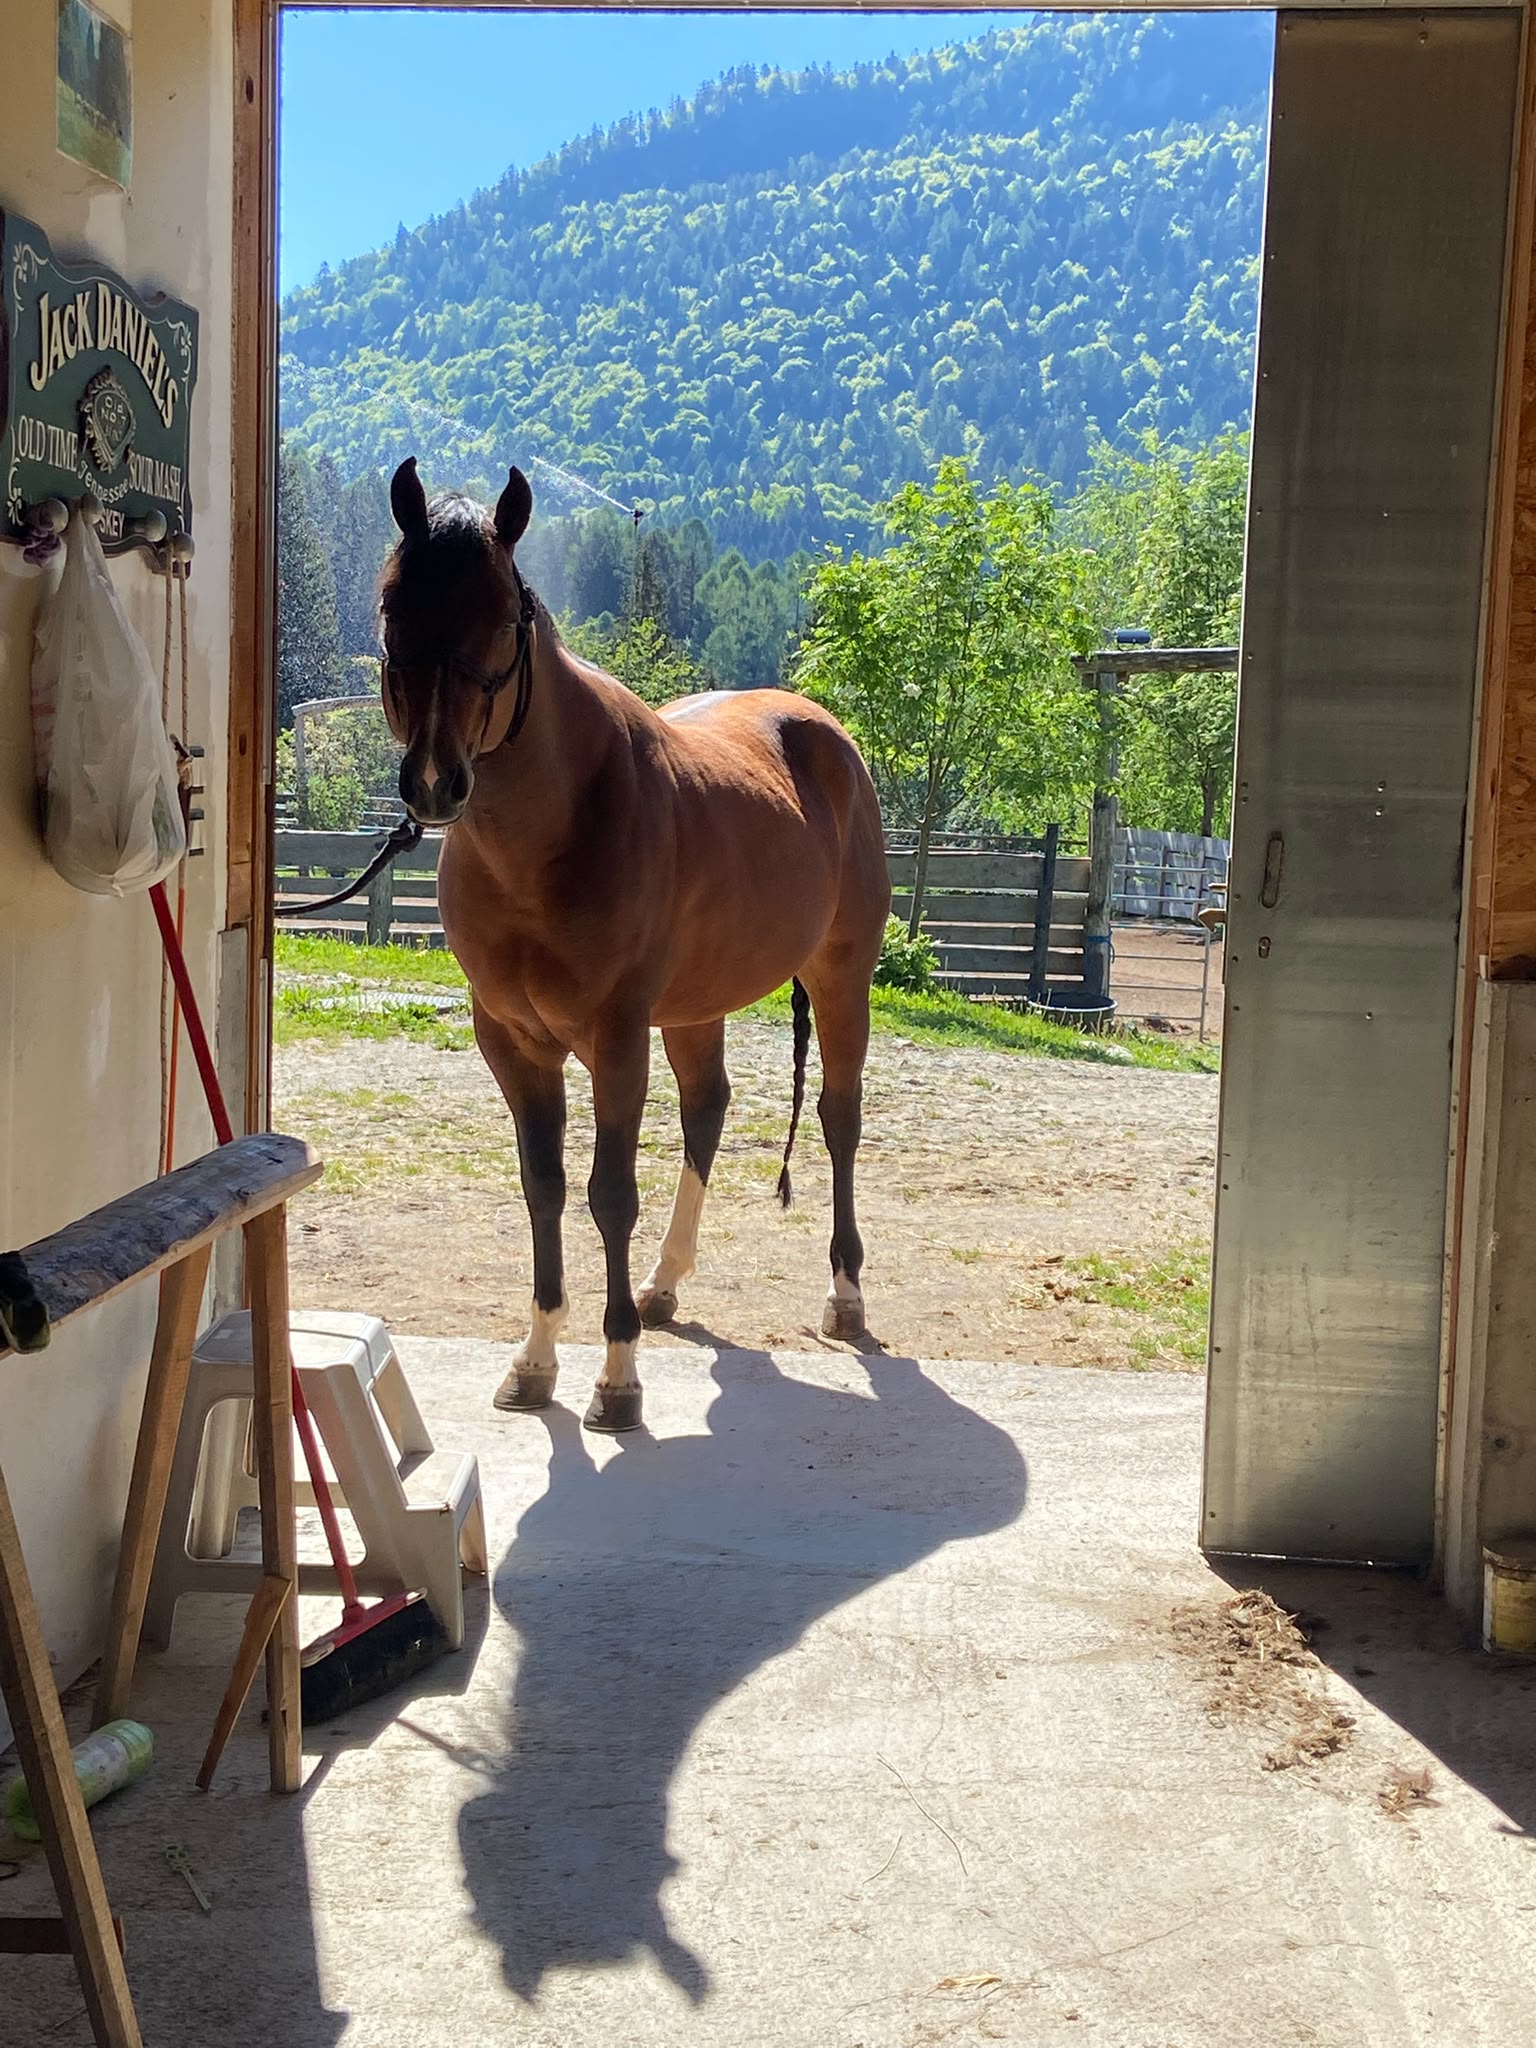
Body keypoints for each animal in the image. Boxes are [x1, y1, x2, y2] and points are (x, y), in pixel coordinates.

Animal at [378, 458, 890, 1432]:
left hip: (842, 978)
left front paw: (616, 1379)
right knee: (708, 1111)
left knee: (839, 1120)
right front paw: (536, 1360)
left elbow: (607, 1193)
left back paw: (845, 1295)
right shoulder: (513, 1043)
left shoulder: (616, 1039)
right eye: (392, 605)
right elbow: (543, 1187)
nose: (433, 783)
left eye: (503, 616)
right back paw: (664, 1283)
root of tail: (827, 735)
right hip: (693, 1010)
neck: (550, 836)